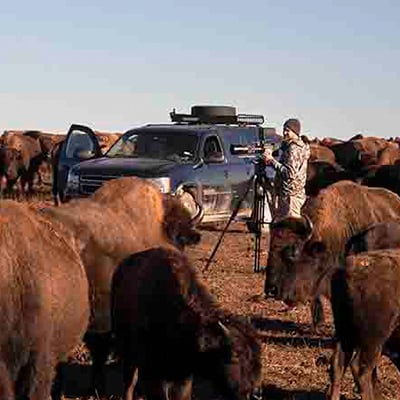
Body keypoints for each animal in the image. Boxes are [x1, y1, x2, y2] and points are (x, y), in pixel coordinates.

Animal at [111, 247, 262, 400]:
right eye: (234, 355)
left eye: (257, 356)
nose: (253, 394)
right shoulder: (154, 373)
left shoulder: (183, 375)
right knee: (130, 378)